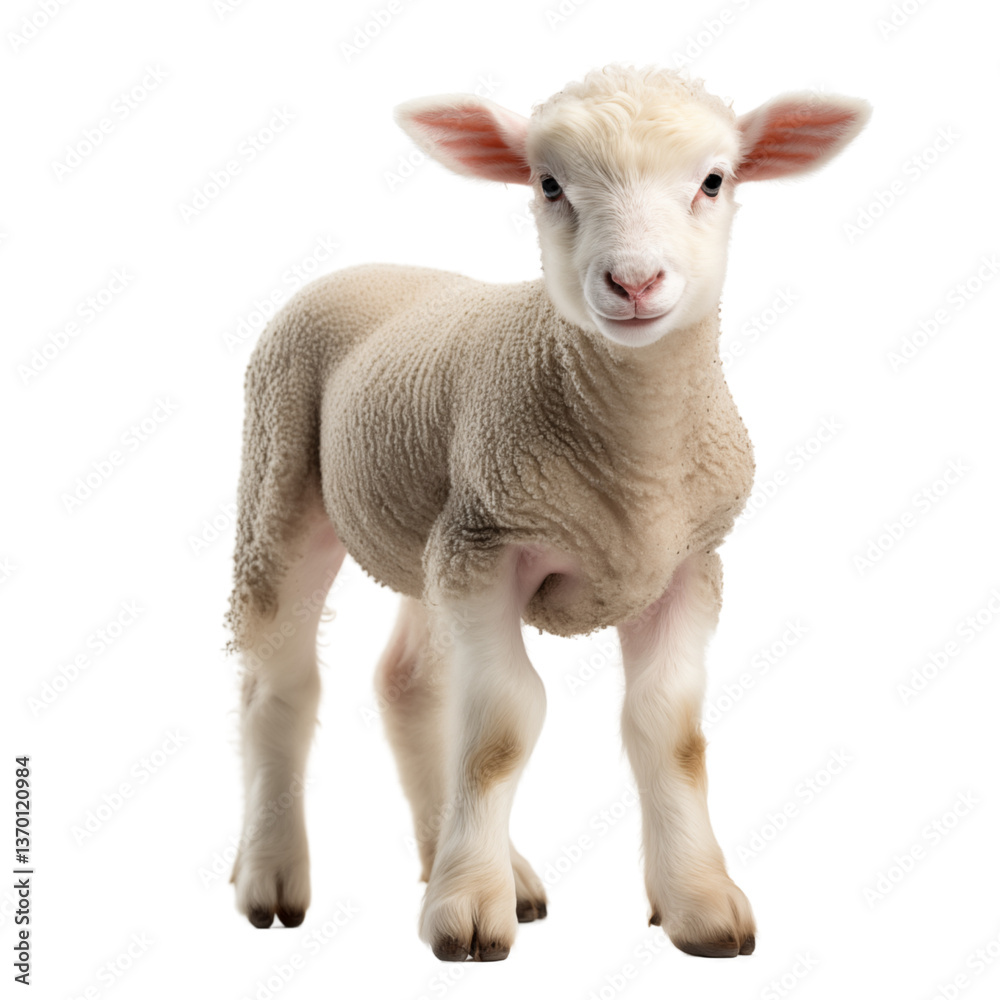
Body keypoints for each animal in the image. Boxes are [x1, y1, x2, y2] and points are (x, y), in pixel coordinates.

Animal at [225, 64, 870, 962]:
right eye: (549, 184)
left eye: (714, 180)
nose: (634, 282)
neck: (636, 465)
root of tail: (370, 266)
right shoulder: (490, 550)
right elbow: (501, 728)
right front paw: (468, 909)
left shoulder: (687, 564)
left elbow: (669, 730)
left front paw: (699, 903)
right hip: (283, 482)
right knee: (276, 682)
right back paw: (272, 876)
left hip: (432, 530)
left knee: (408, 681)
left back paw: (468, 858)